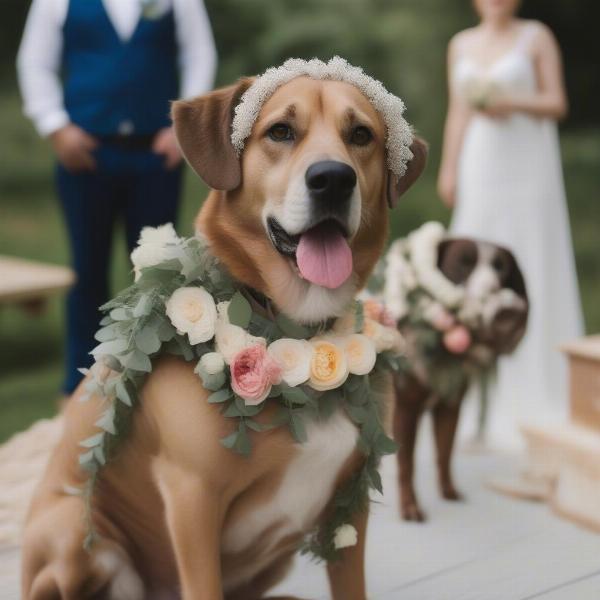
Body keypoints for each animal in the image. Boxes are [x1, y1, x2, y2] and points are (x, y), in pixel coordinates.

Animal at [21, 72, 428, 596]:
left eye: (361, 135)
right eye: (280, 131)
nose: (334, 179)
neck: (300, 331)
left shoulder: (351, 501)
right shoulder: (192, 495)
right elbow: (203, 585)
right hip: (76, 532)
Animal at [390, 236, 524, 520]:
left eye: (500, 267)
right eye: (464, 263)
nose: (492, 288)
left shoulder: (449, 407)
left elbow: (445, 451)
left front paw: (449, 491)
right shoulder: (406, 409)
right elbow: (407, 463)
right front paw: (410, 507)